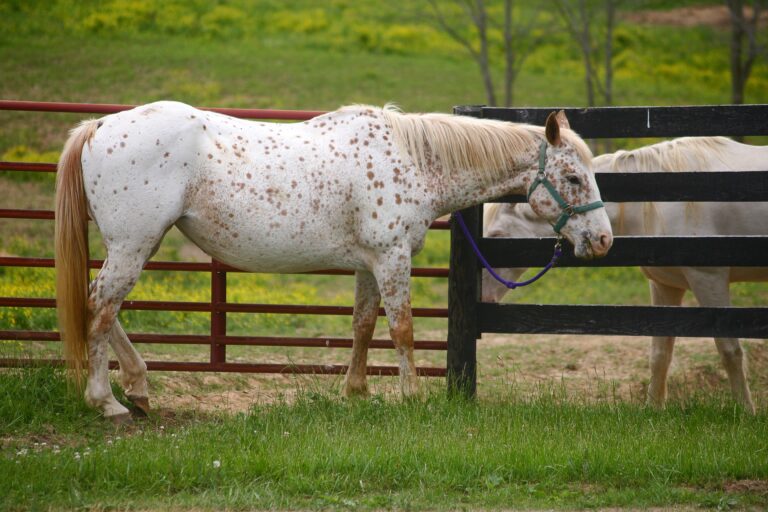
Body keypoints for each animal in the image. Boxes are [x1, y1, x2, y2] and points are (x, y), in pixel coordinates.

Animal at [55, 101, 612, 421]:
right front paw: (412, 398)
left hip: (138, 244)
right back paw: (106, 401)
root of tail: (99, 125)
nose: (604, 241)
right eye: (574, 177)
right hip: (134, 243)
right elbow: (403, 329)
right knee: (101, 307)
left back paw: (139, 389)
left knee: (101, 305)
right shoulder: (391, 259)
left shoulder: (369, 264)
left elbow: (363, 325)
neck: (414, 161)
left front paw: (356, 392)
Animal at [482, 136, 768, 413]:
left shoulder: (709, 278)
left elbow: (729, 350)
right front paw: (653, 409)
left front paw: (746, 411)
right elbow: (660, 353)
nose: (483, 296)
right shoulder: (666, 285)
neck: (664, 202)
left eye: (497, 236)